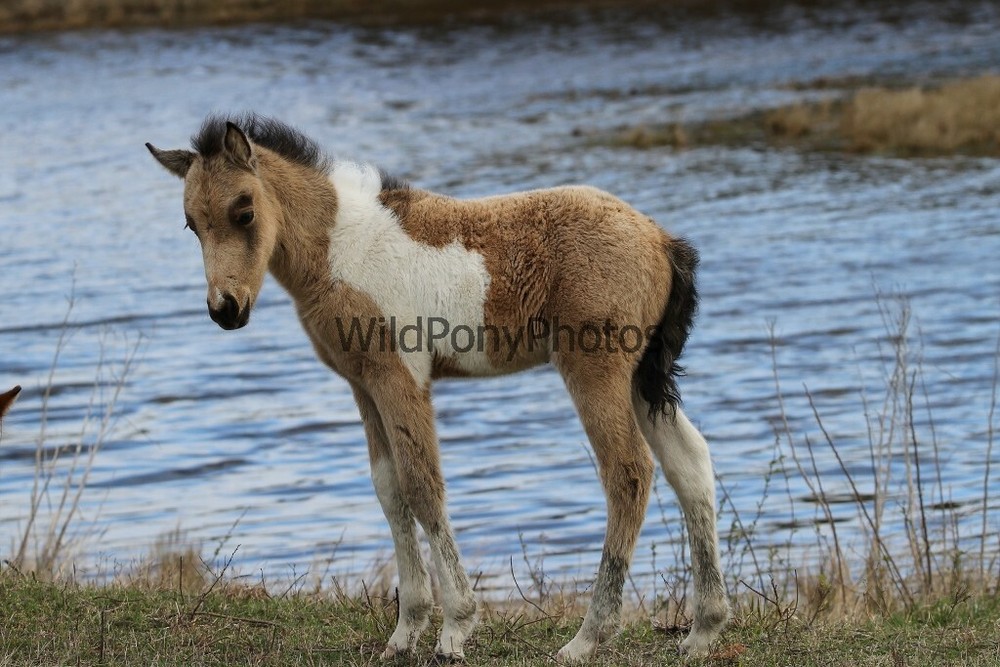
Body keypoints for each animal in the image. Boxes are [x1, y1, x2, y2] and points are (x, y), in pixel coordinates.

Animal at [146, 113, 729, 661]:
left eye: (244, 210)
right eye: (190, 224)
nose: (225, 310)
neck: (340, 248)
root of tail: (660, 239)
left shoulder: (400, 377)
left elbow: (423, 485)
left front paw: (454, 629)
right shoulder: (364, 385)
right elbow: (390, 489)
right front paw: (405, 632)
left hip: (596, 370)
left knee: (628, 472)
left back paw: (587, 639)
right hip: (639, 377)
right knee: (690, 463)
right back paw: (702, 631)